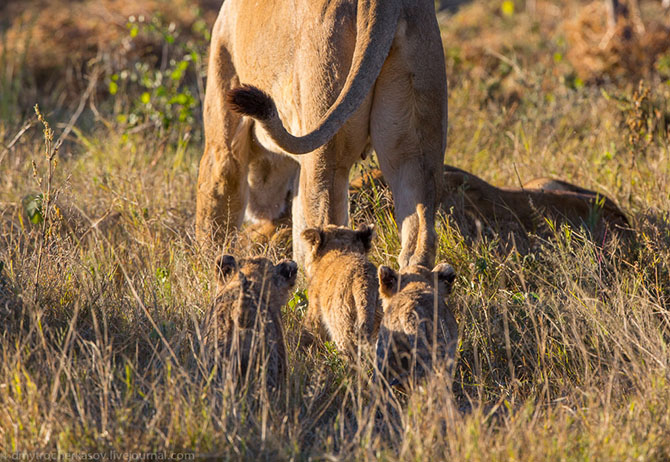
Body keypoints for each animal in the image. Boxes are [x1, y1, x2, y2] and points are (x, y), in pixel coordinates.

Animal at [197, 0, 448, 268]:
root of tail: (383, 3)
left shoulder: (223, 138)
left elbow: (215, 211)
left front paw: (206, 268)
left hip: (324, 144)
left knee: (332, 229)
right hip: (413, 146)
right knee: (420, 233)